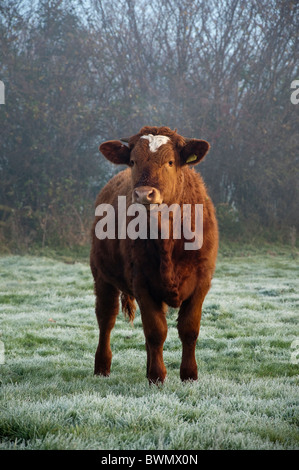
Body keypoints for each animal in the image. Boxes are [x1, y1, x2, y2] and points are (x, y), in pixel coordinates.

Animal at [90, 126, 219, 384]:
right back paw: (102, 368)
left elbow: (189, 329)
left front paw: (189, 375)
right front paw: (158, 377)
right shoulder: (142, 282)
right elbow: (156, 331)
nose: (143, 194)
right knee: (106, 319)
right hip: (101, 276)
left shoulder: (202, 281)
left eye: (170, 162)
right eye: (132, 161)